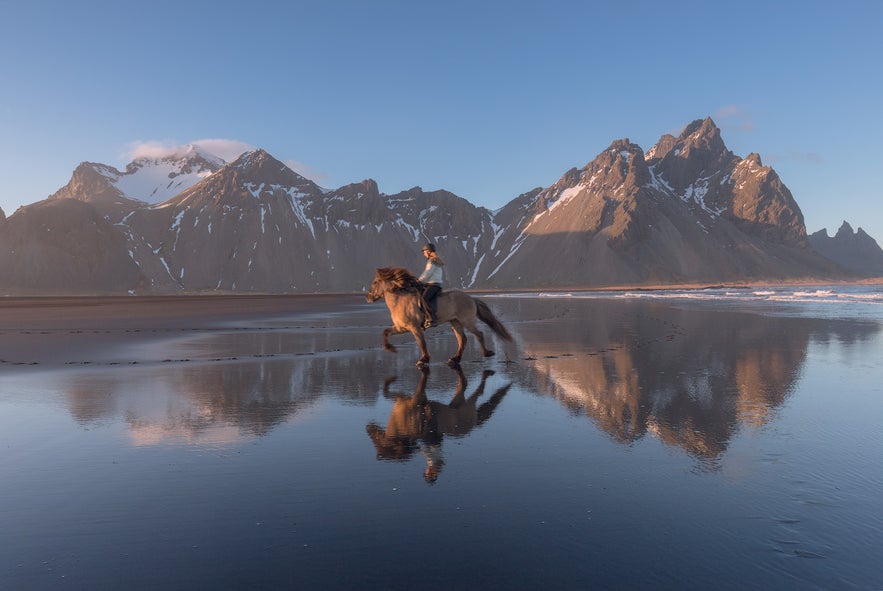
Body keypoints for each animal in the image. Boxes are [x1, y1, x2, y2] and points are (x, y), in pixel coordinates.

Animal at [364, 268, 516, 368]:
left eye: (375, 282)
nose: (368, 297)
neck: (400, 301)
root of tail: (471, 298)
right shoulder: (402, 328)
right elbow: (385, 332)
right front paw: (390, 349)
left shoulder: (414, 328)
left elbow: (421, 343)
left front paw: (423, 360)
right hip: (455, 322)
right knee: (462, 339)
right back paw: (455, 359)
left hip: (466, 321)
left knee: (478, 334)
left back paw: (486, 353)